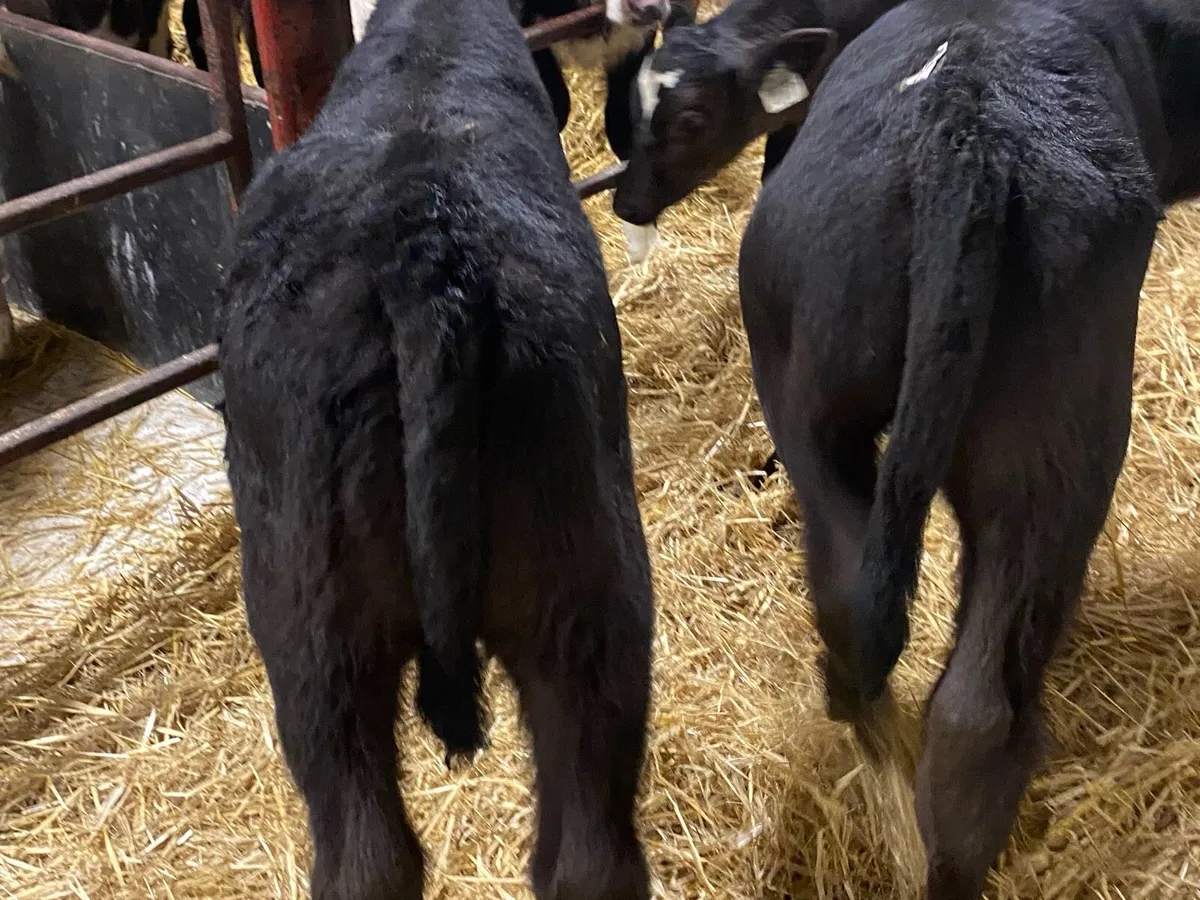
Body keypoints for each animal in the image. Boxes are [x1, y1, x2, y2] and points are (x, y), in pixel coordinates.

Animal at [617, 0, 1200, 897]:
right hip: (1043, 440)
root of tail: (966, 126)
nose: (624, 202)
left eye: (689, 119)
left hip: (843, 410)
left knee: (902, 653)